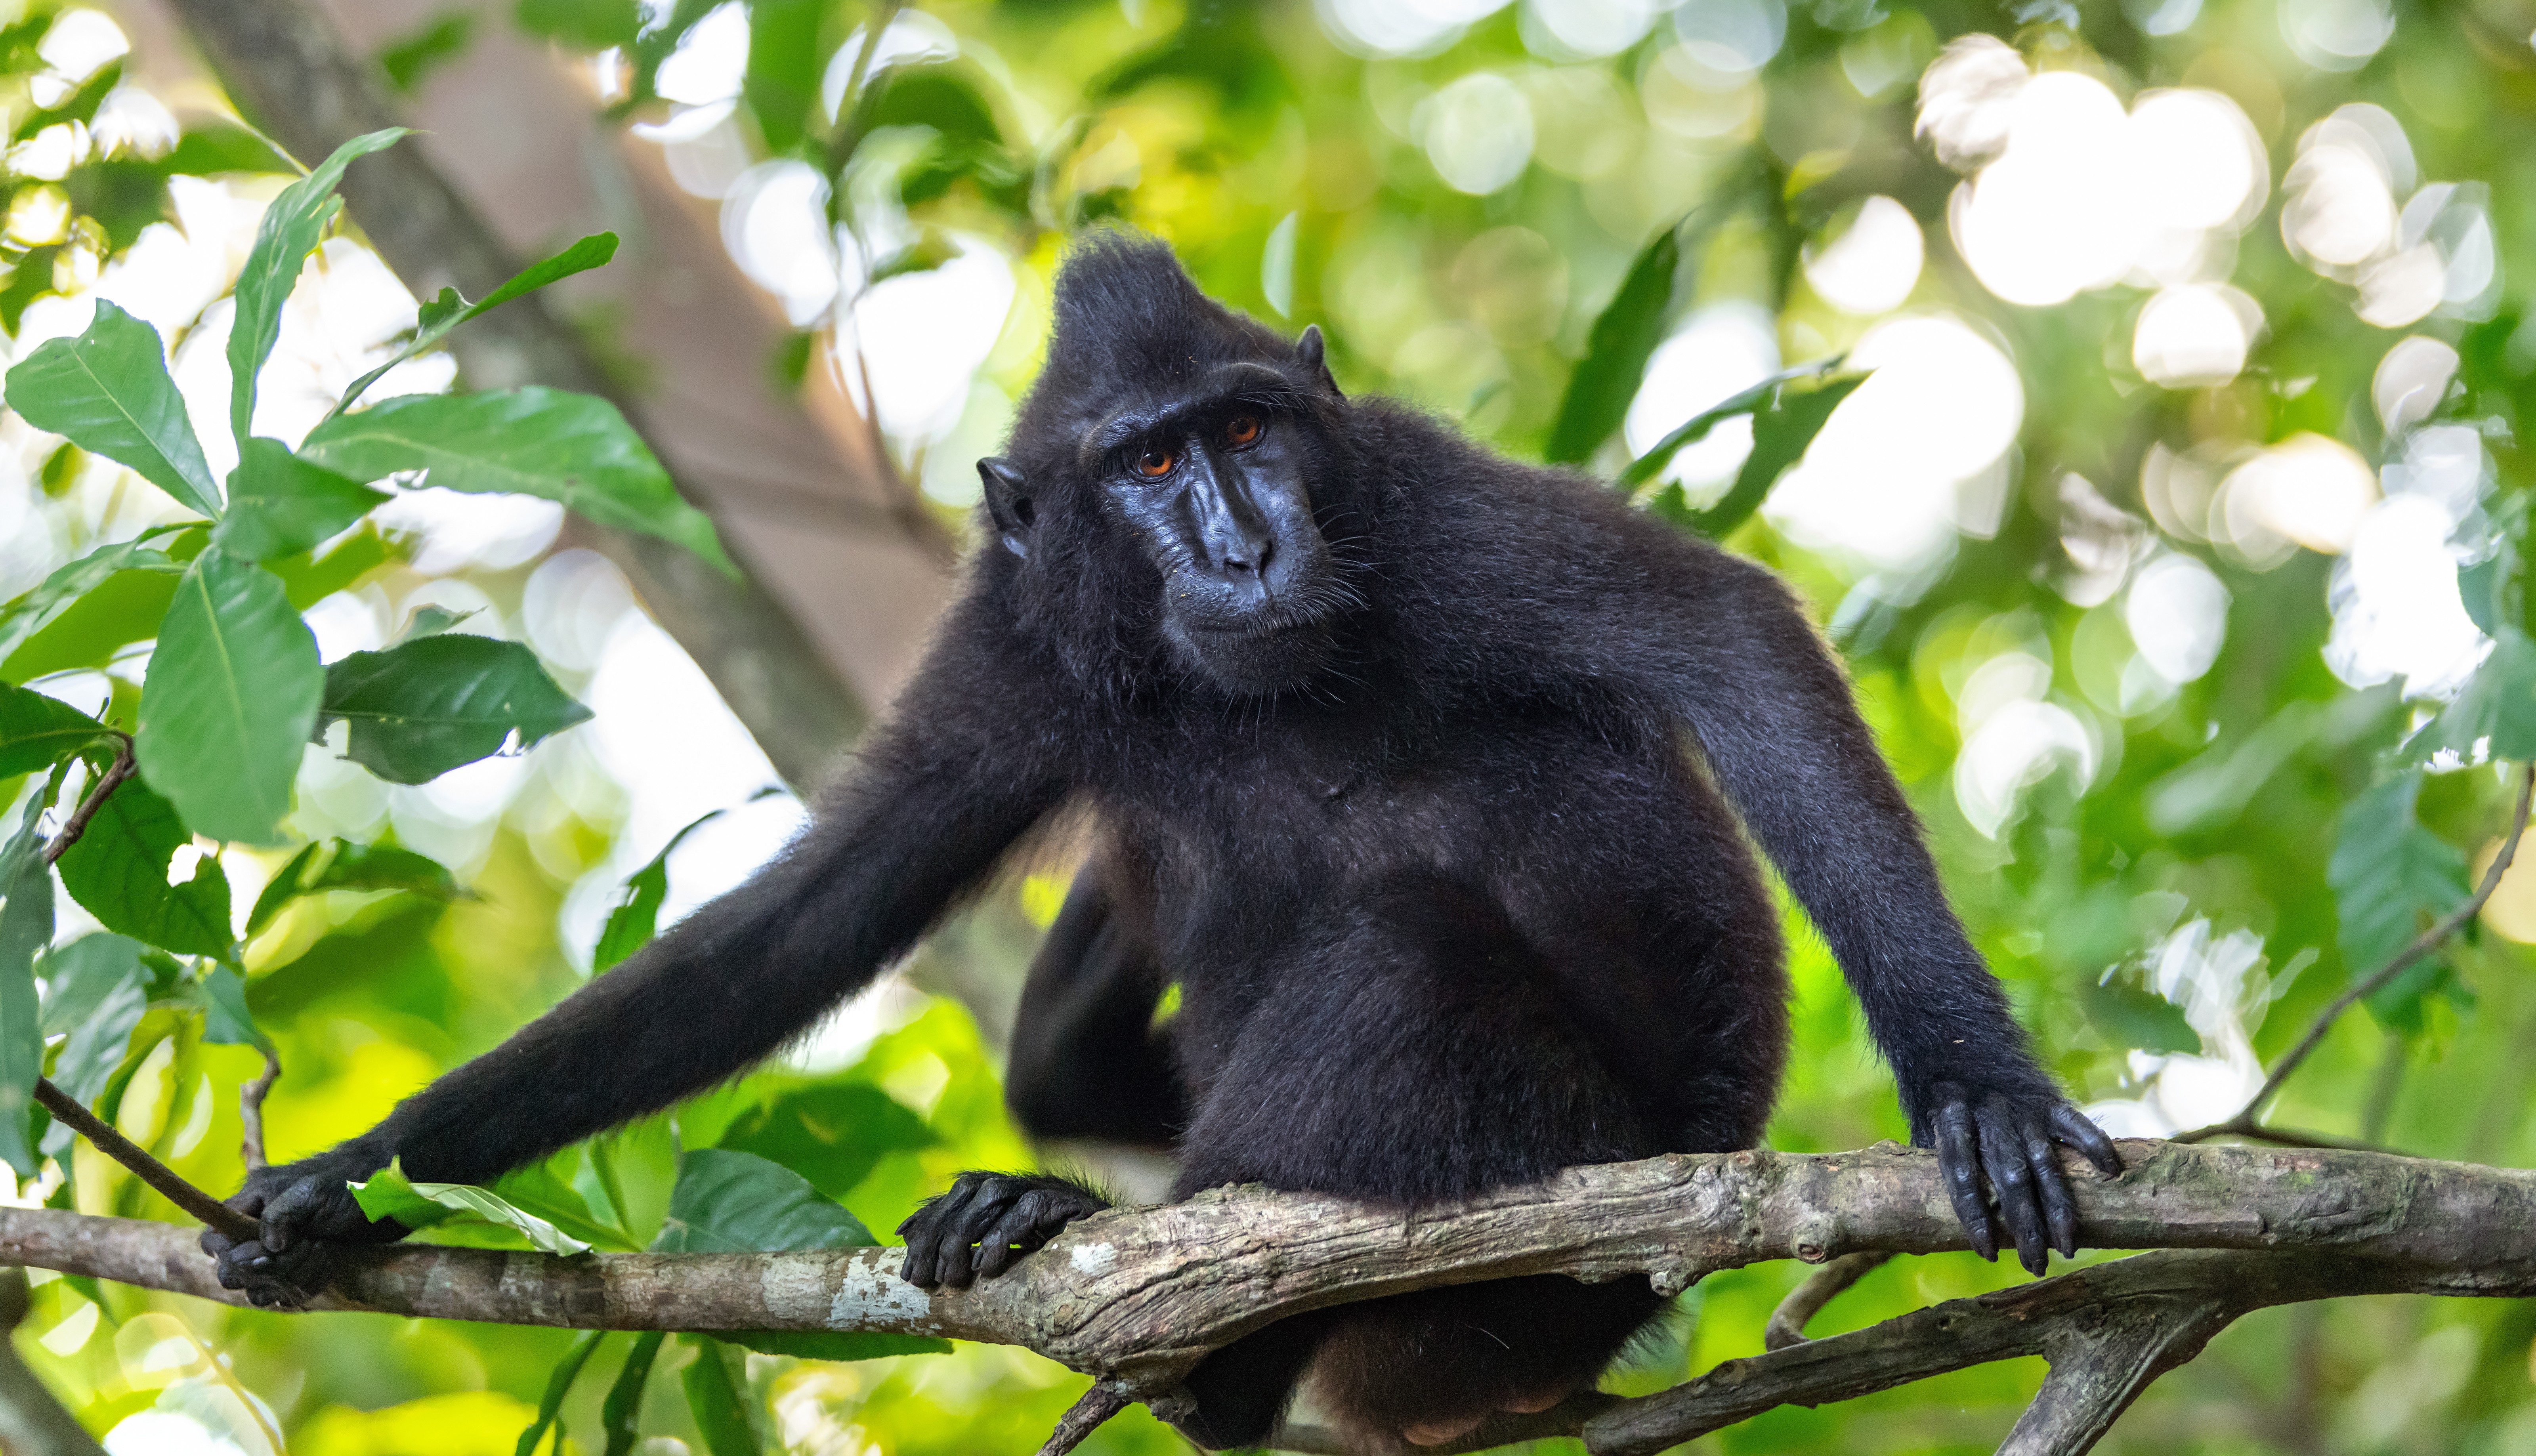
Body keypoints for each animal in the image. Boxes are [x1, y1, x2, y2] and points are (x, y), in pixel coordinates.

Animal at [205, 232, 2121, 1452]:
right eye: (1142, 468)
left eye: (1249, 430)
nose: (1240, 541)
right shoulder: (1015, 635)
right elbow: (815, 914)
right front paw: (352, 1175)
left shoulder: (1422, 503)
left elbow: (1724, 637)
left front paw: (1973, 1087)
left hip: (1583, 1193)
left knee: (1409, 964)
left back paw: (1152, 1299)